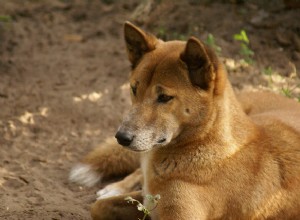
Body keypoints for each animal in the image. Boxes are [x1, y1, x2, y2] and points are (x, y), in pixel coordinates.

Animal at [69, 21, 300, 219]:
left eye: (164, 97)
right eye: (134, 89)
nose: (121, 137)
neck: (203, 142)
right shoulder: (149, 198)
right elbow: (98, 207)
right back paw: (116, 186)